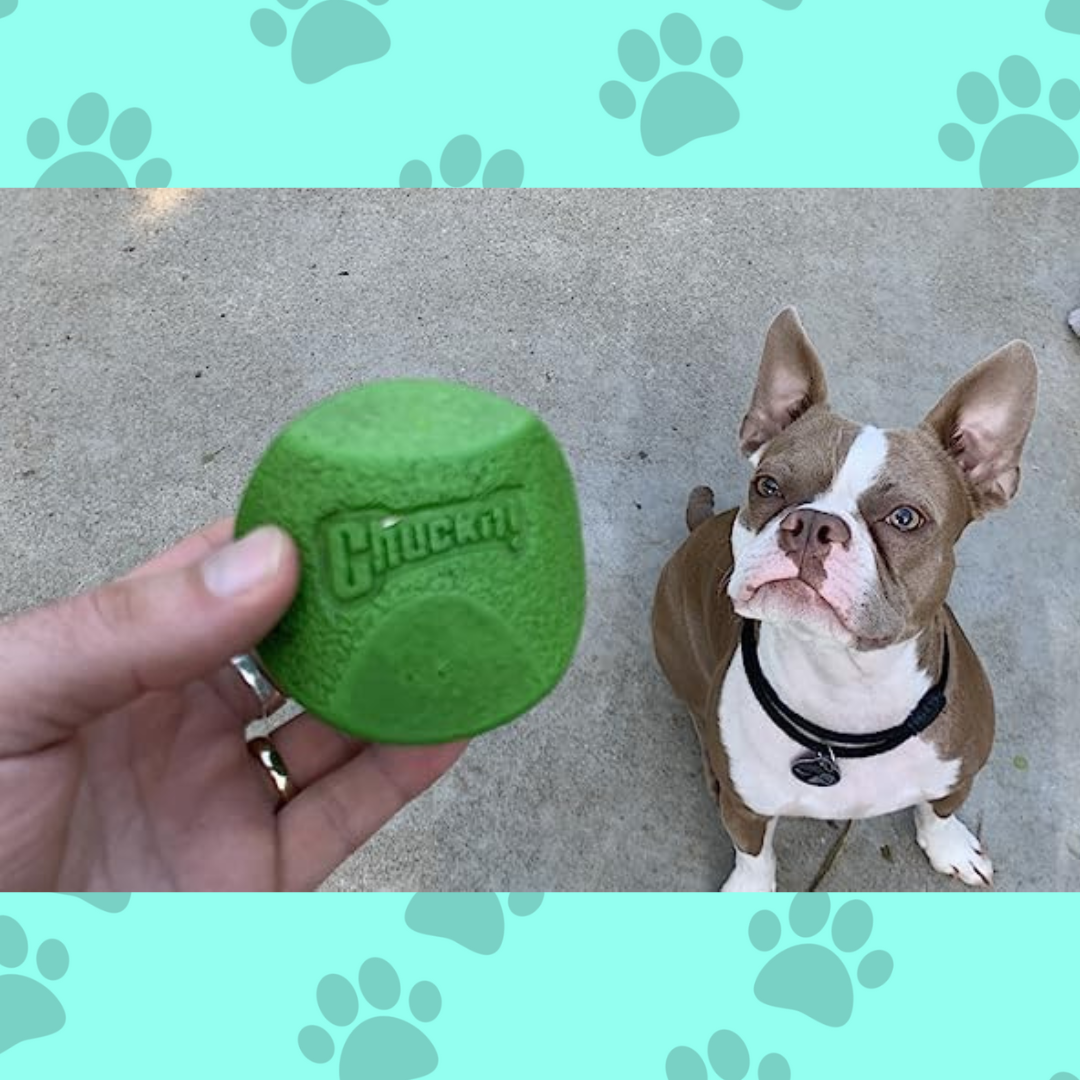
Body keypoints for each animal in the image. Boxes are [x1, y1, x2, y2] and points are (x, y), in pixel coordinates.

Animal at [648, 308, 1036, 889]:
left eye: (905, 518)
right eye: (767, 486)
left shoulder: (960, 770)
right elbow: (753, 852)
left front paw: (949, 846)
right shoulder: (747, 811)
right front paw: (749, 890)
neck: (846, 687)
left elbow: (941, 809)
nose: (812, 524)